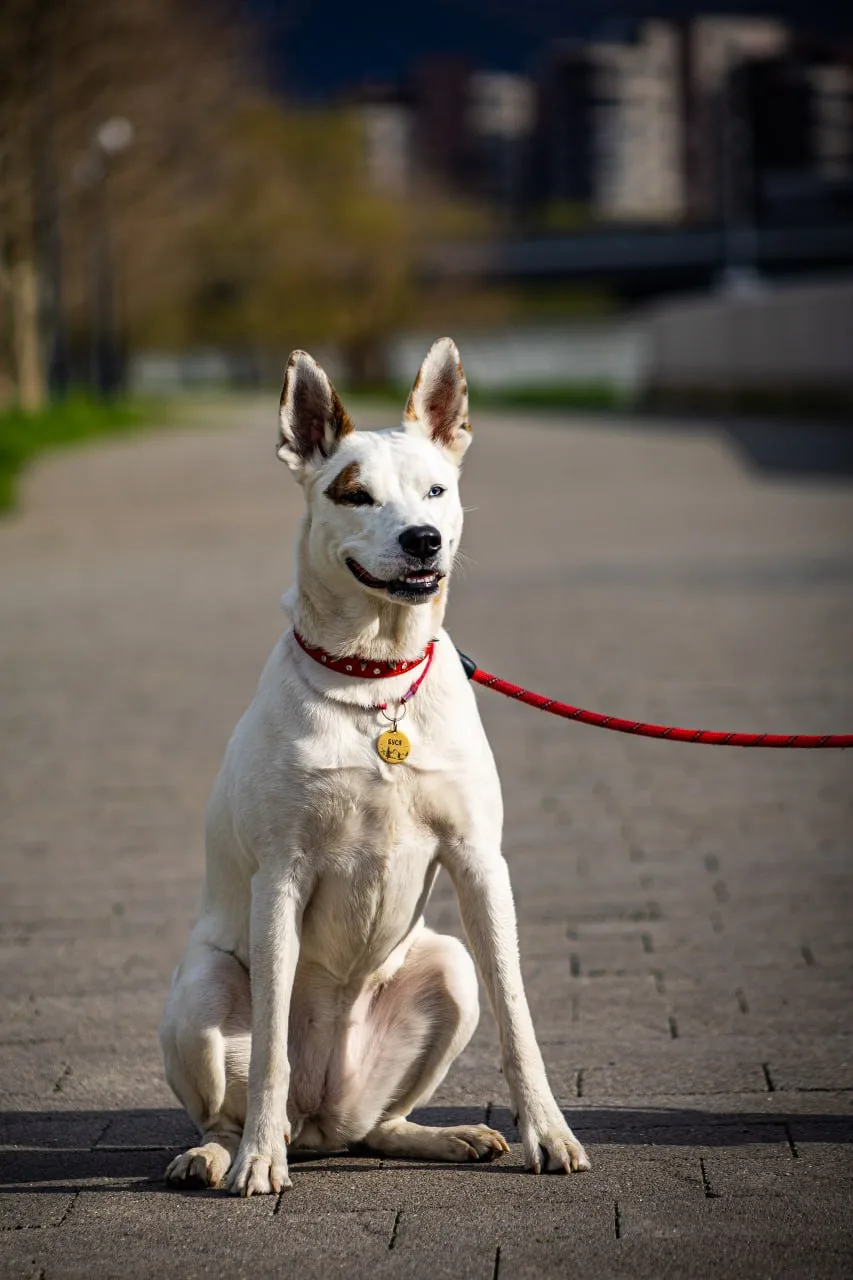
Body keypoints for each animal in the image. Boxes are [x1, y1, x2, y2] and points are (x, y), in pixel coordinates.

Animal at [159, 337, 590, 1195]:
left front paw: (547, 1132)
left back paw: (447, 1135)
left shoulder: (479, 862)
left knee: (376, 1125)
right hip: (201, 988)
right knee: (234, 1100)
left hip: (446, 970)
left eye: (436, 489)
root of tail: (321, 1120)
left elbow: (518, 1017)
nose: (423, 538)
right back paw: (223, 1153)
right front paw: (257, 1161)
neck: (375, 679)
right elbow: (268, 1051)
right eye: (354, 496)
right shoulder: (280, 876)